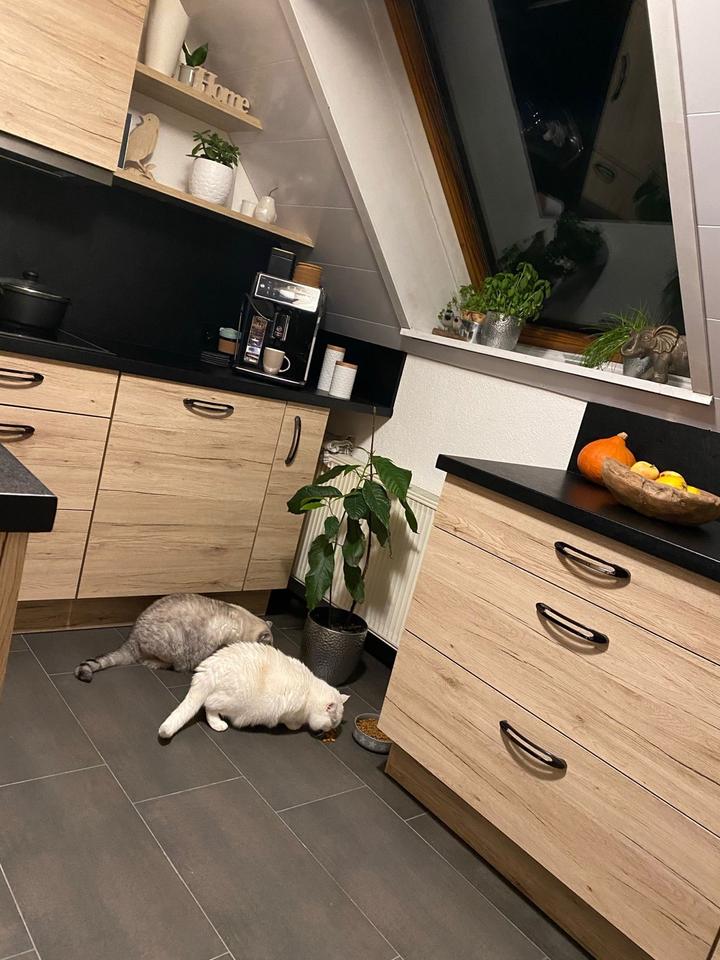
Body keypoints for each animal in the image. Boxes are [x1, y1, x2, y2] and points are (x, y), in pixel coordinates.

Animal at [158, 642, 349, 739]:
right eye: (333, 722)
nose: (329, 730)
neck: (310, 691)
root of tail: (208, 670)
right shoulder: (289, 711)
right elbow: (292, 723)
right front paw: (296, 727)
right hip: (233, 701)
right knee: (209, 706)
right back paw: (218, 724)